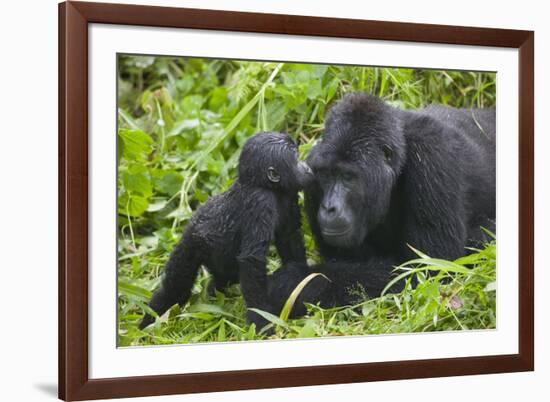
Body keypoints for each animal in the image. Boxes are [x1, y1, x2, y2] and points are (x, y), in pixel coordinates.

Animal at [141, 131, 314, 330]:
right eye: (296, 158)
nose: (306, 167)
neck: (264, 185)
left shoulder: (289, 194)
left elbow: (289, 237)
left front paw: (300, 280)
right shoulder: (260, 202)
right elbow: (252, 260)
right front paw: (261, 320)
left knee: (224, 276)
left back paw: (212, 292)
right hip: (190, 244)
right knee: (176, 288)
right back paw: (149, 322)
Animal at [270, 94, 498, 318]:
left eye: (347, 177)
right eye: (326, 175)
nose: (329, 207)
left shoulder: (433, 155)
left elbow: (428, 269)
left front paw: (293, 282)